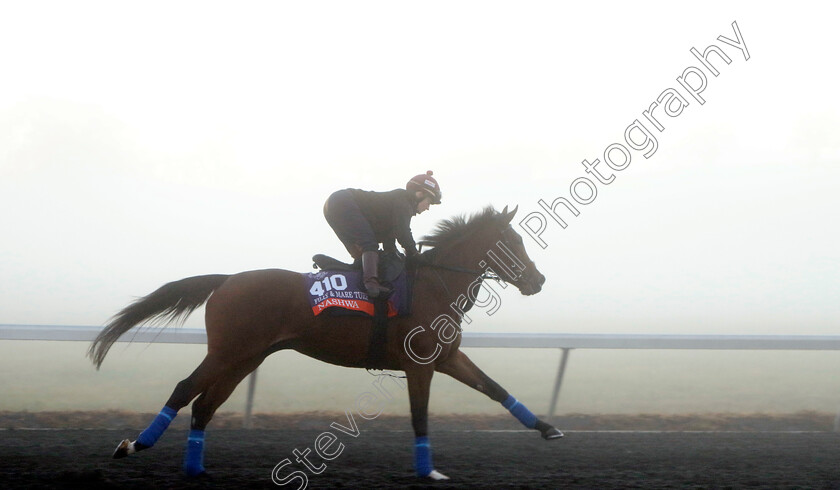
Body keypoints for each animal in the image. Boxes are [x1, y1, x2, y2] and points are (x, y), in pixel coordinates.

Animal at [88, 205, 564, 480]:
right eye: (512, 241)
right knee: (186, 389)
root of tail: (227, 280)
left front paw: (548, 428)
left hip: (246, 357)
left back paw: (195, 468)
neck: (435, 284)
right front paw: (429, 471)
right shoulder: (420, 364)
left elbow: (496, 389)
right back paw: (135, 445)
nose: (539, 281)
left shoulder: (447, 357)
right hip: (227, 352)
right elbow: (419, 416)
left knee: (206, 404)